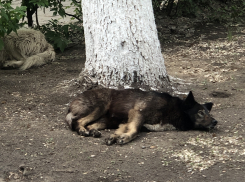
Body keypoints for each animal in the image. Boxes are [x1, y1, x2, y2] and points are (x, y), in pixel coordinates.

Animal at [65, 88, 218, 145]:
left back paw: (93, 131)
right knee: (77, 121)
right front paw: (125, 138)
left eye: (208, 112)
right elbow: (135, 130)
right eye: (200, 112)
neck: (174, 109)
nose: (215, 122)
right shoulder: (138, 113)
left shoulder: (126, 121)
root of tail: (73, 101)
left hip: (107, 120)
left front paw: (115, 137)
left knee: (90, 124)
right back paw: (82, 130)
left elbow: (123, 130)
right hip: (100, 106)